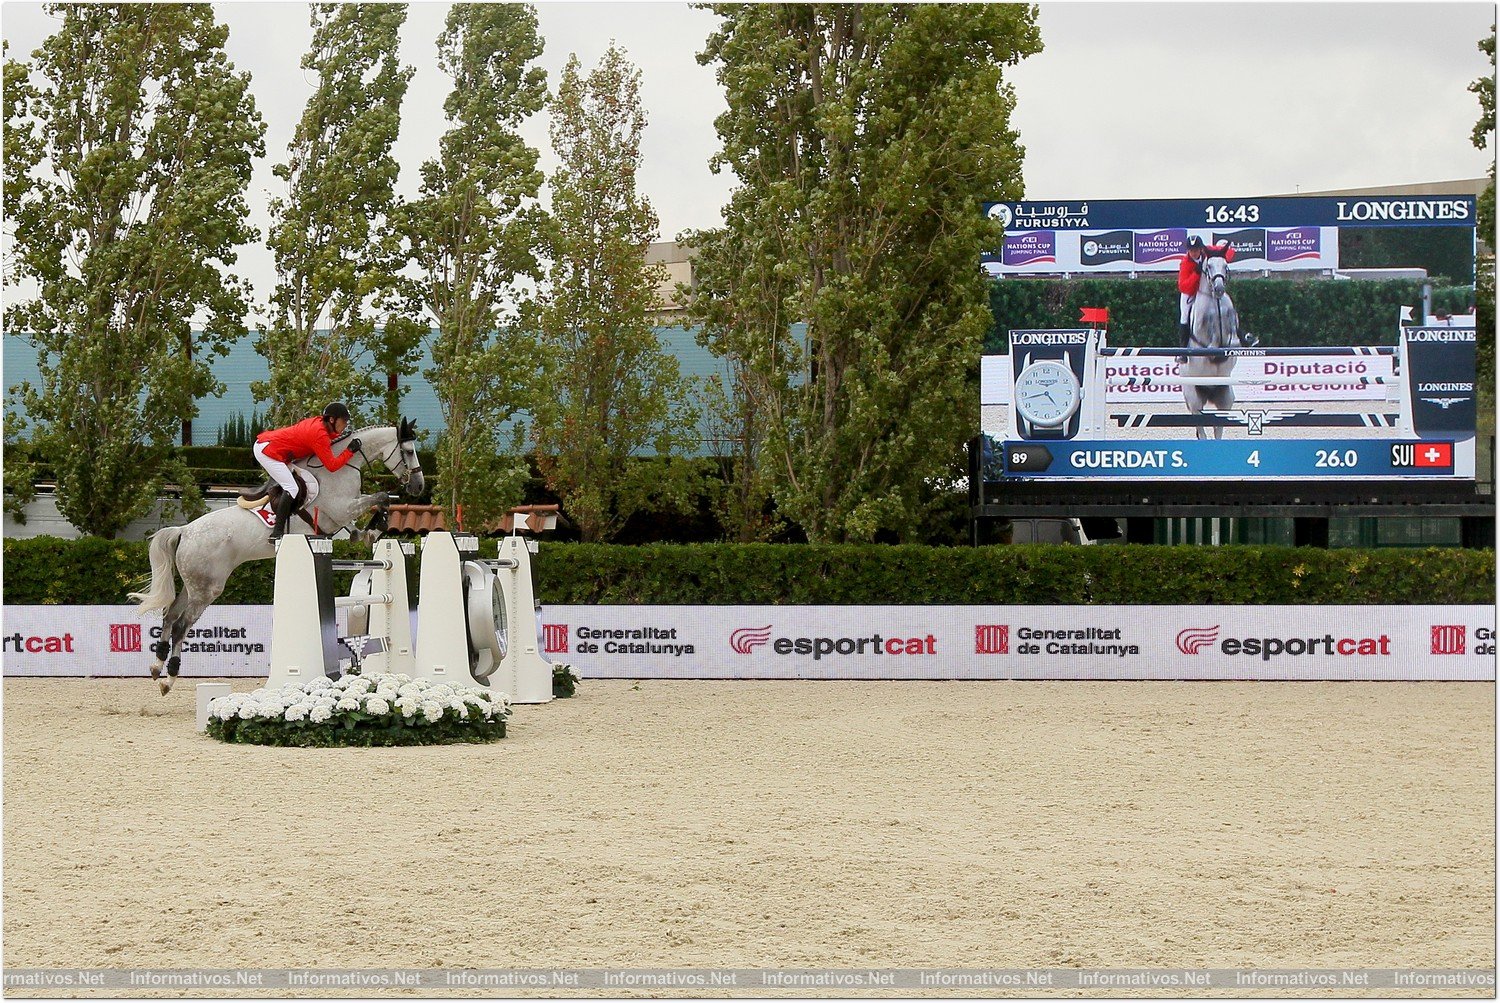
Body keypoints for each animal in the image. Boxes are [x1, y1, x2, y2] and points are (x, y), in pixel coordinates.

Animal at [129, 419, 423, 692]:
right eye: (408, 451)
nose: (419, 487)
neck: (339, 469)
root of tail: (184, 531)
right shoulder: (342, 509)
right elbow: (380, 497)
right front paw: (377, 523)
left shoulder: (339, 518)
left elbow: (362, 524)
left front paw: (370, 532)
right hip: (206, 589)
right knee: (181, 625)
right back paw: (169, 678)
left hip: (193, 586)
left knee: (169, 616)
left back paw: (156, 666)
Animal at [1182, 254, 1242, 437]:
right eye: (1208, 266)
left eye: (1225, 266)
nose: (1219, 288)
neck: (1215, 302)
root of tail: (1209, 392)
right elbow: (1211, 339)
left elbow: (1233, 337)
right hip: (1194, 398)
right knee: (1201, 428)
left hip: (1226, 397)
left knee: (1218, 427)